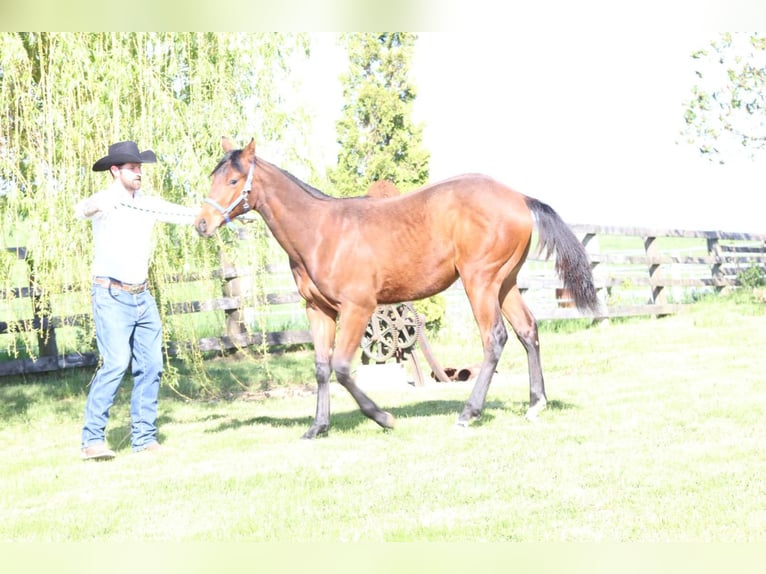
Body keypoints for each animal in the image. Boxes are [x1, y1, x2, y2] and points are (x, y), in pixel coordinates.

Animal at [195, 138, 599, 439]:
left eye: (233, 181)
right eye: (212, 177)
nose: (201, 224)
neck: (321, 233)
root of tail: (519, 198)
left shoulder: (357, 307)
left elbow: (342, 367)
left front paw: (384, 417)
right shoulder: (318, 310)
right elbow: (322, 368)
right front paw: (317, 427)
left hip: (480, 281)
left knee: (495, 338)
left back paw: (469, 413)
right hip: (506, 282)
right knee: (527, 330)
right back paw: (536, 404)